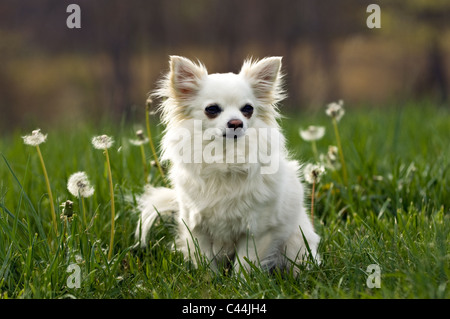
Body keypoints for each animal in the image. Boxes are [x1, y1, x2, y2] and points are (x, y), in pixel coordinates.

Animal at [136, 55, 320, 276]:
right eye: (212, 110)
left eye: (248, 109)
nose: (235, 123)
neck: (225, 156)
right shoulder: (197, 229)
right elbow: (205, 262)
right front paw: (210, 280)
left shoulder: (256, 231)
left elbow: (245, 263)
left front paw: (240, 282)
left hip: (296, 245)